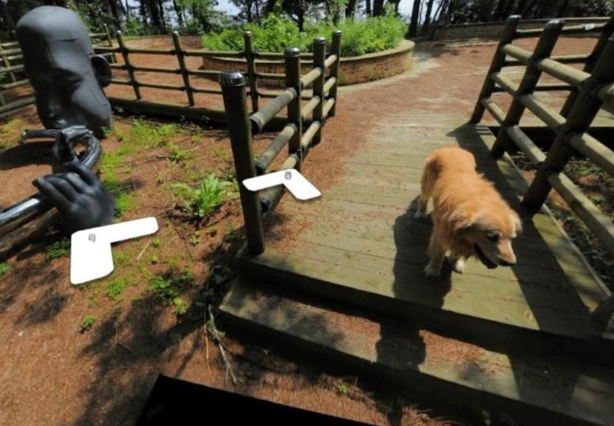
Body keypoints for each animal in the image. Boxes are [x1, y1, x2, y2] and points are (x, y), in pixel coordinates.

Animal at [416, 146, 524, 278]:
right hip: (428, 185)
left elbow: (459, 253)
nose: (511, 263)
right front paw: (433, 270)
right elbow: (437, 255)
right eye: (492, 237)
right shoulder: (440, 236)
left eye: (512, 238)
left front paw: (457, 263)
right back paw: (421, 213)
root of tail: (452, 147)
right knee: (423, 199)